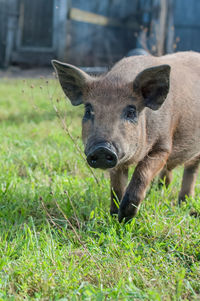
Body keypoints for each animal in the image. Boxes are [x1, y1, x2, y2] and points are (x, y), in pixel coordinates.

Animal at [52, 50, 200, 221]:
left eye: (131, 112)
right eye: (88, 110)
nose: (102, 148)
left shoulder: (163, 147)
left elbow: (141, 173)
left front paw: (126, 218)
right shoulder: (118, 161)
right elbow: (116, 187)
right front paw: (114, 216)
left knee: (191, 169)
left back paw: (184, 203)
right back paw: (159, 191)